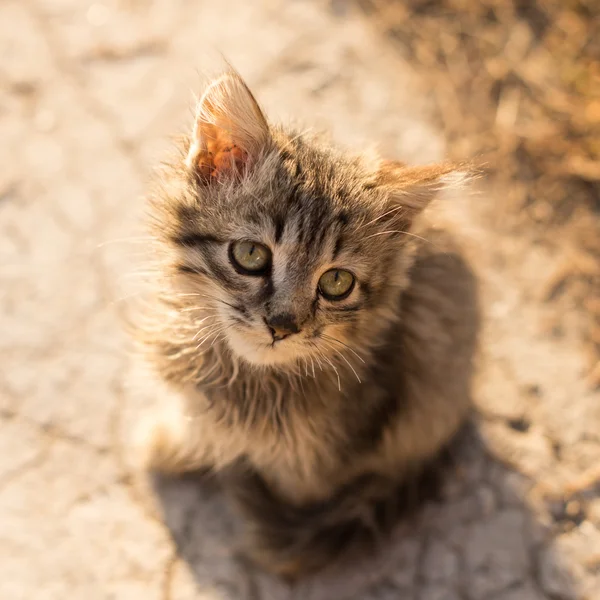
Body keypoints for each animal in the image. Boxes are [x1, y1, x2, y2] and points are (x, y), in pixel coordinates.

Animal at [134, 72, 480, 580]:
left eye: (336, 282)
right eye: (250, 255)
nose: (283, 325)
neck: (249, 383)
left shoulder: (316, 459)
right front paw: (171, 447)